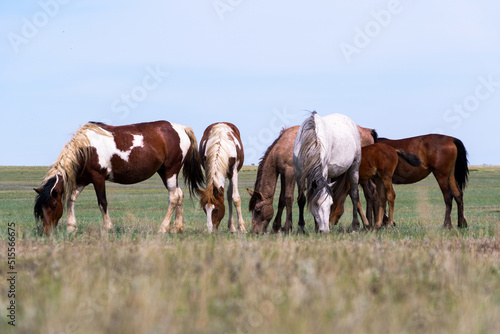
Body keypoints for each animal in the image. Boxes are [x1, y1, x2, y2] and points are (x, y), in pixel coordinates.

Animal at [34, 120, 204, 235]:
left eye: (53, 206)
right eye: (41, 208)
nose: (46, 232)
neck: (86, 148)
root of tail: (181, 128)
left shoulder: (98, 177)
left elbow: (102, 202)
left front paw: (107, 228)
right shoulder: (83, 179)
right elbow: (71, 199)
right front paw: (71, 228)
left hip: (170, 171)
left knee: (174, 197)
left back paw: (163, 228)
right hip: (164, 172)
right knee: (179, 195)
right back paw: (177, 228)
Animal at [248, 124, 376, 234]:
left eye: (258, 210)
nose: (255, 232)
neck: (282, 145)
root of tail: (367, 131)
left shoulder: (290, 173)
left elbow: (288, 198)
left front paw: (287, 227)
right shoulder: (285, 174)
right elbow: (283, 200)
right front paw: (277, 227)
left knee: (366, 193)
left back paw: (367, 224)